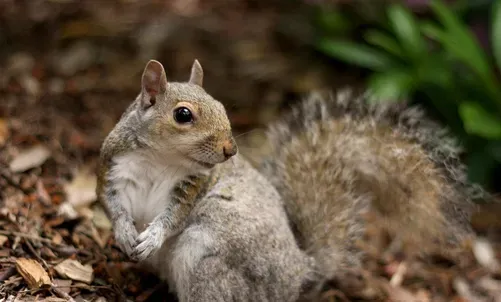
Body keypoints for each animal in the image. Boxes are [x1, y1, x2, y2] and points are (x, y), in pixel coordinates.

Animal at [95, 59, 482, 302]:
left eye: (222, 107)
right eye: (183, 115)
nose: (230, 149)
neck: (159, 160)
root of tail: (301, 273)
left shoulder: (191, 186)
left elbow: (173, 216)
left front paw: (152, 235)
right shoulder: (113, 169)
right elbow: (112, 205)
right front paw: (125, 232)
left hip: (209, 262)